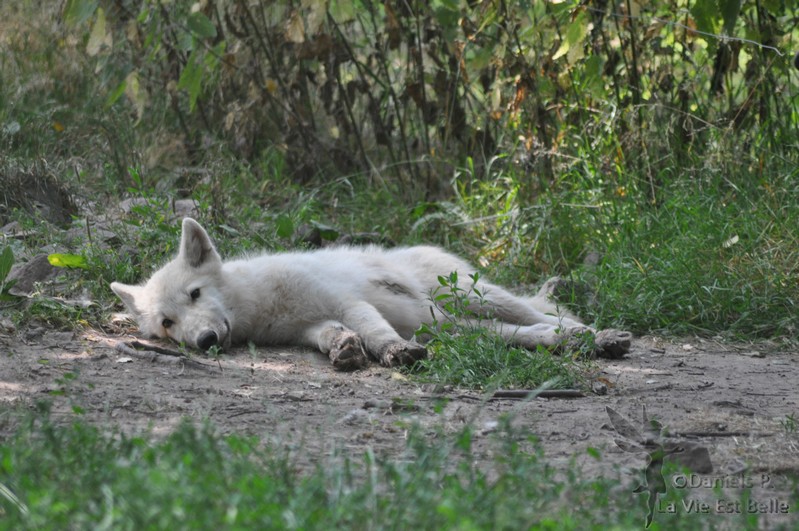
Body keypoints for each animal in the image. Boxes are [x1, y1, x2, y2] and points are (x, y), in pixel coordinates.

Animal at [111, 218, 632, 372]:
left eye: (196, 294)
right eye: (167, 324)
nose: (205, 343)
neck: (262, 303)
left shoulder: (348, 302)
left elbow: (375, 331)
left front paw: (393, 352)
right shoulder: (310, 327)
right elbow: (333, 337)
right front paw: (345, 350)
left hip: (477, 298)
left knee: (552, 316)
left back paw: (599, 335)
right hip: (458, 327)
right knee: (536, 334)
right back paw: (583, 344)